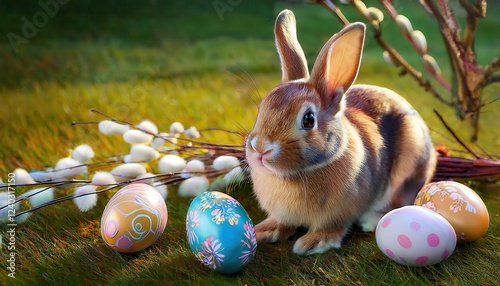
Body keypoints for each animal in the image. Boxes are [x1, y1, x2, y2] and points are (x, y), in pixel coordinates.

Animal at [244, 8, 436, 256]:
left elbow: (333, 227)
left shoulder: (339, 213)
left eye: (308, 119)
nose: (260, 149)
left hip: (408, 169)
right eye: (262, 108)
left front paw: (314, 242)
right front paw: (265, 230)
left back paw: (372, 220)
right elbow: (282, 222)